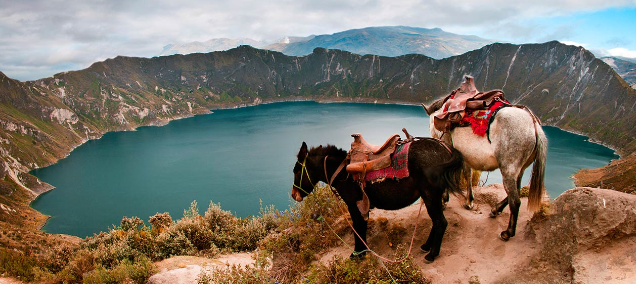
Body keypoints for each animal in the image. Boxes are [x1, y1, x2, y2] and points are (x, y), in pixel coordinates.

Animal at [292, 138, 462, 262]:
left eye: (297, 171)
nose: (294, 195)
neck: (342, 172)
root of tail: (446, 149)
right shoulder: (361, 207)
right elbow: (361, 228)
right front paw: (363, 251)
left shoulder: (354, 205)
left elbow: (357, 229)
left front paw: (357, 254)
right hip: (431, 197)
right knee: (436, 221)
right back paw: (426, 246)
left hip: (430, 195)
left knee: (441, 222)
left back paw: (432, 254)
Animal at [424, 76, 544, 241]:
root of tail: (534, 125)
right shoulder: (463, 154)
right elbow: (467, 174)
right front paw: (469, 201)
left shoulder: (447, 144)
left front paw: (444, 200)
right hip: (520, 168)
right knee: (516, 190)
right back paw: (495, 210)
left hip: (508, 168)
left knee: (515, 200)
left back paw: (507, 233)